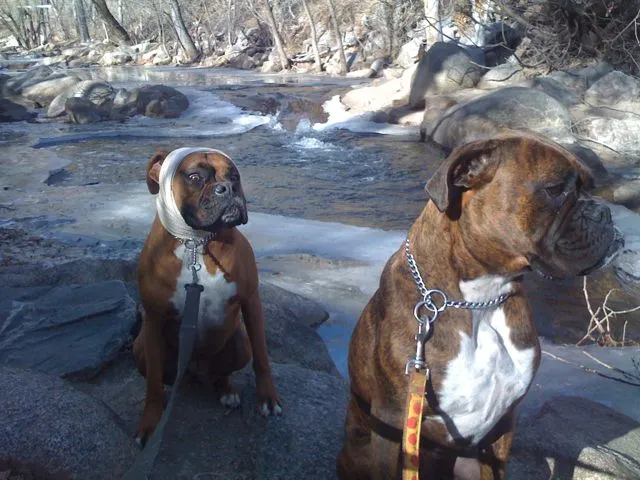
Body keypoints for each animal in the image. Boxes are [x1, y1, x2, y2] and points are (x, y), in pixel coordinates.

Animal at [133, 147, 281, 444]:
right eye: (194, 177)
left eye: (234, 176)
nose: (228, 188)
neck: (196, 242)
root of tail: (195, 369)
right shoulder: (153, 319)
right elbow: (153, 383)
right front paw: (151, 423)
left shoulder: (251, 302)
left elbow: (262, 355)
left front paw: (267, 398)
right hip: (140, 348)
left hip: (239, 344)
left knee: (222, 371)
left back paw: (227, 390)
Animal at [337, 132, 623, 479]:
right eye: (555, 189)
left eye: (592, 188)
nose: (604, 212)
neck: (481, 299)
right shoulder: (392, 421)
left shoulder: (504, 425)